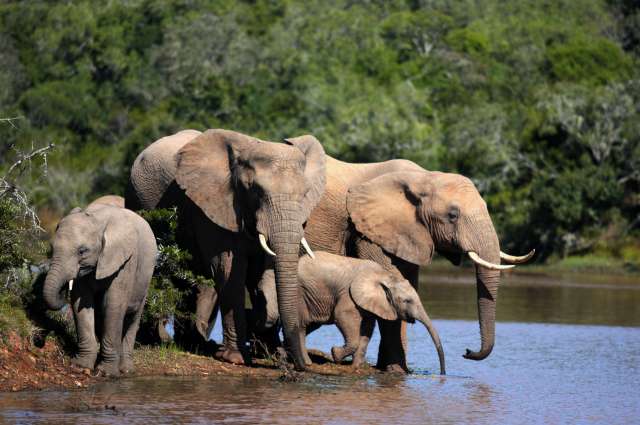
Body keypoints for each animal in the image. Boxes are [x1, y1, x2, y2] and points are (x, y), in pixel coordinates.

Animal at [43, 203, 157, 376]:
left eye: (82, 251)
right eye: (51, 247)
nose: (63, 291)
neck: (97, 219)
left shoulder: (125, 261)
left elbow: (113, 305)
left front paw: (106, 373)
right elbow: (81, 304)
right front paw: (80, 366)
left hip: (145, 278)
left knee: (132, 319)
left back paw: (126, 370)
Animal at [126, 129, 326, 369]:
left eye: (305, 194)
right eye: (255, 191)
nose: (304, 365)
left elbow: (259, 272)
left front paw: (272, 353)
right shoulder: (214, 207)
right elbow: (230, 270)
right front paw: (236, 359)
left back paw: (194, 344)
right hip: (138, 201)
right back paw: (156, 340)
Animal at [256, 252, 445, 374]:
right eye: (407, 301)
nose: (443, 374)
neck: (384, 276)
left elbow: (367, 329)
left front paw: (356, 367)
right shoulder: (349, 294)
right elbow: (343, 316)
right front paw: (335, 354)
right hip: (299, 293)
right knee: (301, 326)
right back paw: (306, 363)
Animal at [302, 157, 534, 371]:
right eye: (453, 215)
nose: (467, 352)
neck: (424, 177)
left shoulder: (409, 234)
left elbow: (407, 283)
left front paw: (398, 371)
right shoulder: (366, 230)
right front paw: (397, 372)